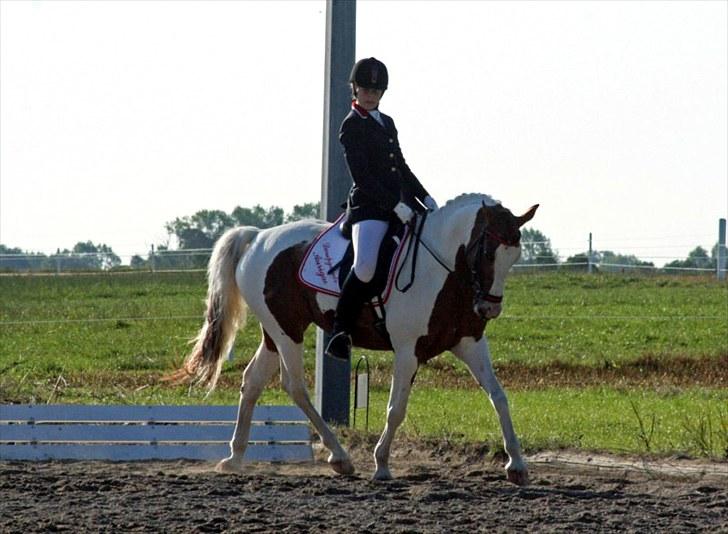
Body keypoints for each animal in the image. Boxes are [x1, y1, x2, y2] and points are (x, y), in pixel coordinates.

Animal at [169, 195, 536, 488]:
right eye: (487, 252)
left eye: (515, 256)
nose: (489, 308)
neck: (445, 272)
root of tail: (259, 236)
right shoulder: (408, 350)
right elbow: (395, 409)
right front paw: (382, 464)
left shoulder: (470, 344)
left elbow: (498, 397)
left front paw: (516, 465)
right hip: (287, 331)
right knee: (294, 386)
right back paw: (340, 458)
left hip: (274, 332)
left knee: (253, 381)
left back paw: (235, 458)